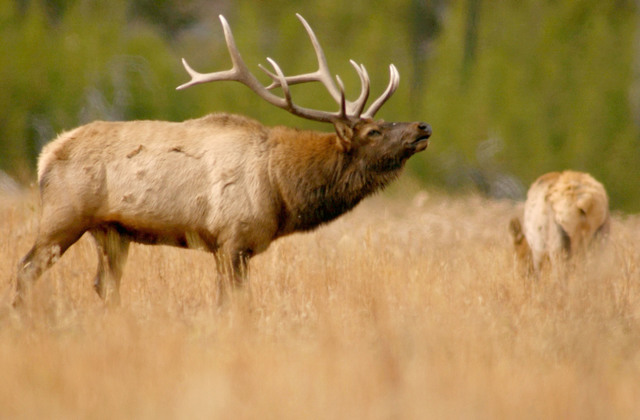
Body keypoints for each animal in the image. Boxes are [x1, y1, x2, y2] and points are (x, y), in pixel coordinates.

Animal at [13, 14, 432, 307]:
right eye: (373, 132)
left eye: (383, 122)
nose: (423, 126)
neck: (281, 190)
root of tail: (45, 155)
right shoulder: (231, 240)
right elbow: (231, 304)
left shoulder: (237, 248)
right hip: (64, 216)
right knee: (26, 269)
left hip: (110, 231)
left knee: (104, 285)